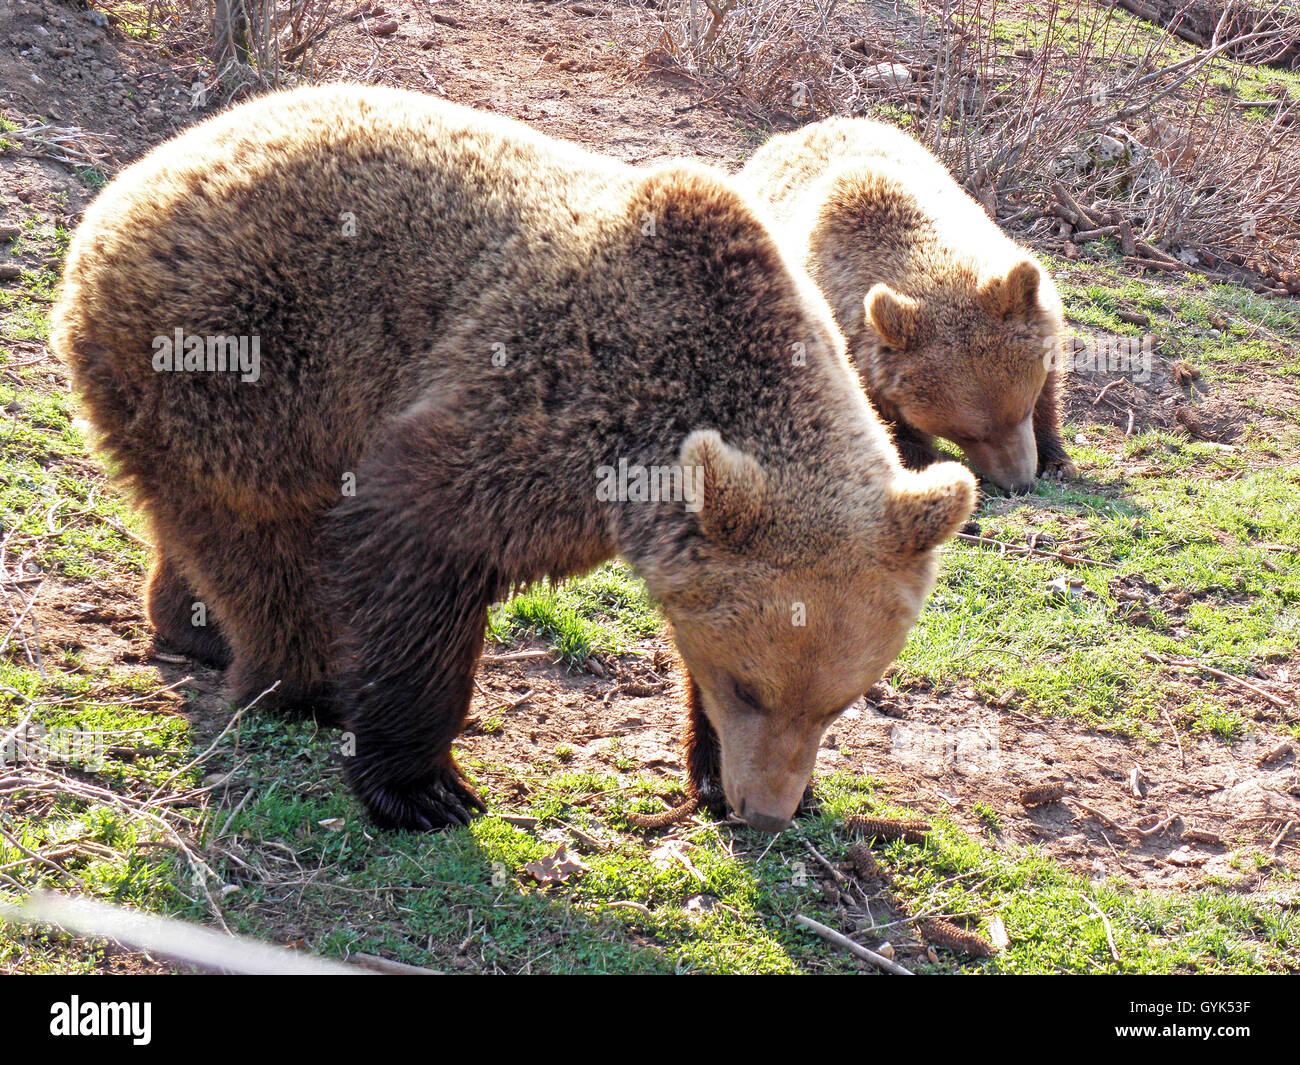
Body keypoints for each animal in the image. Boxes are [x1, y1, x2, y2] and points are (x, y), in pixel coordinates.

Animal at [55, 85, 972, 832]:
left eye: (838, 703)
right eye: (751, 684)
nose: (767, 809)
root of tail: (132, 180)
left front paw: (724, 772)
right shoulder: (538, 409)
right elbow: (417, 547)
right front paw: (424, 785)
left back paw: (193, 625)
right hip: (240, 359)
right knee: (259, 536)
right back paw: (298, 680)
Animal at [743, 117, 1076, 496]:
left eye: (1021, 409)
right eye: (967, 433)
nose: (1018, 481)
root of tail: (795, 132)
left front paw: (1056, 461)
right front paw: (920, 462)